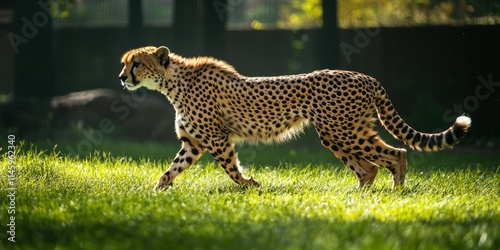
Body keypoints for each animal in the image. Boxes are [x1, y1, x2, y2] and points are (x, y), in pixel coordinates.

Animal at [119, 46, 470, 189]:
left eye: (136, 63)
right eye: (126, 64)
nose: (122, 78)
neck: (172, 83)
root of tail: (364, 76)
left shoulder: (217, 139)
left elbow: (231, 170)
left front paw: (250, 185)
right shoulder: (192, 143)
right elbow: (170, 171)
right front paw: (155, 193)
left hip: (339, 131)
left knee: (395, 154)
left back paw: (395, 195)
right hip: (341, 132)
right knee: (369, 167)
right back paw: (359, 197)